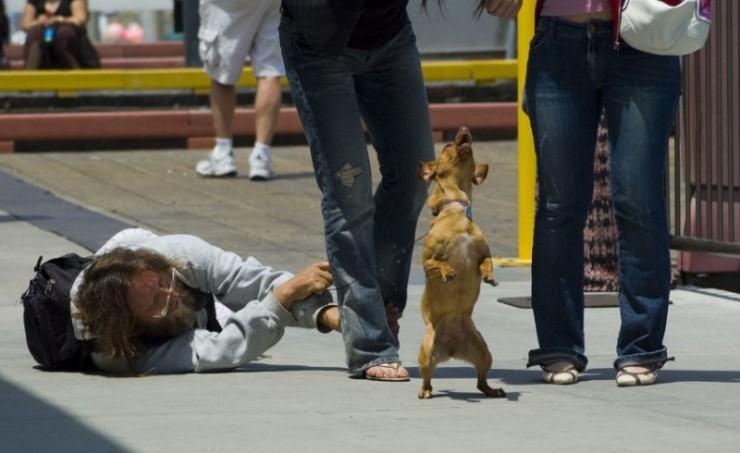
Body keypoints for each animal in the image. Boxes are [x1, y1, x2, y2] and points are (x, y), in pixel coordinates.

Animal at [416, 125, 502, 398]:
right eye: (446, 146)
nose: (464, 128)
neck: (457, 211)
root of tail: (452, 349)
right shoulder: (426, 262)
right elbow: (438, 263)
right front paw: (449, 271)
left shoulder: (483, 254)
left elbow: (486, 261)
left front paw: (489, 276)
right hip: (426, 351)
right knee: (427, 379)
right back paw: (425, 391)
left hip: (484, 352)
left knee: (481, 381)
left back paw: (493, 390)